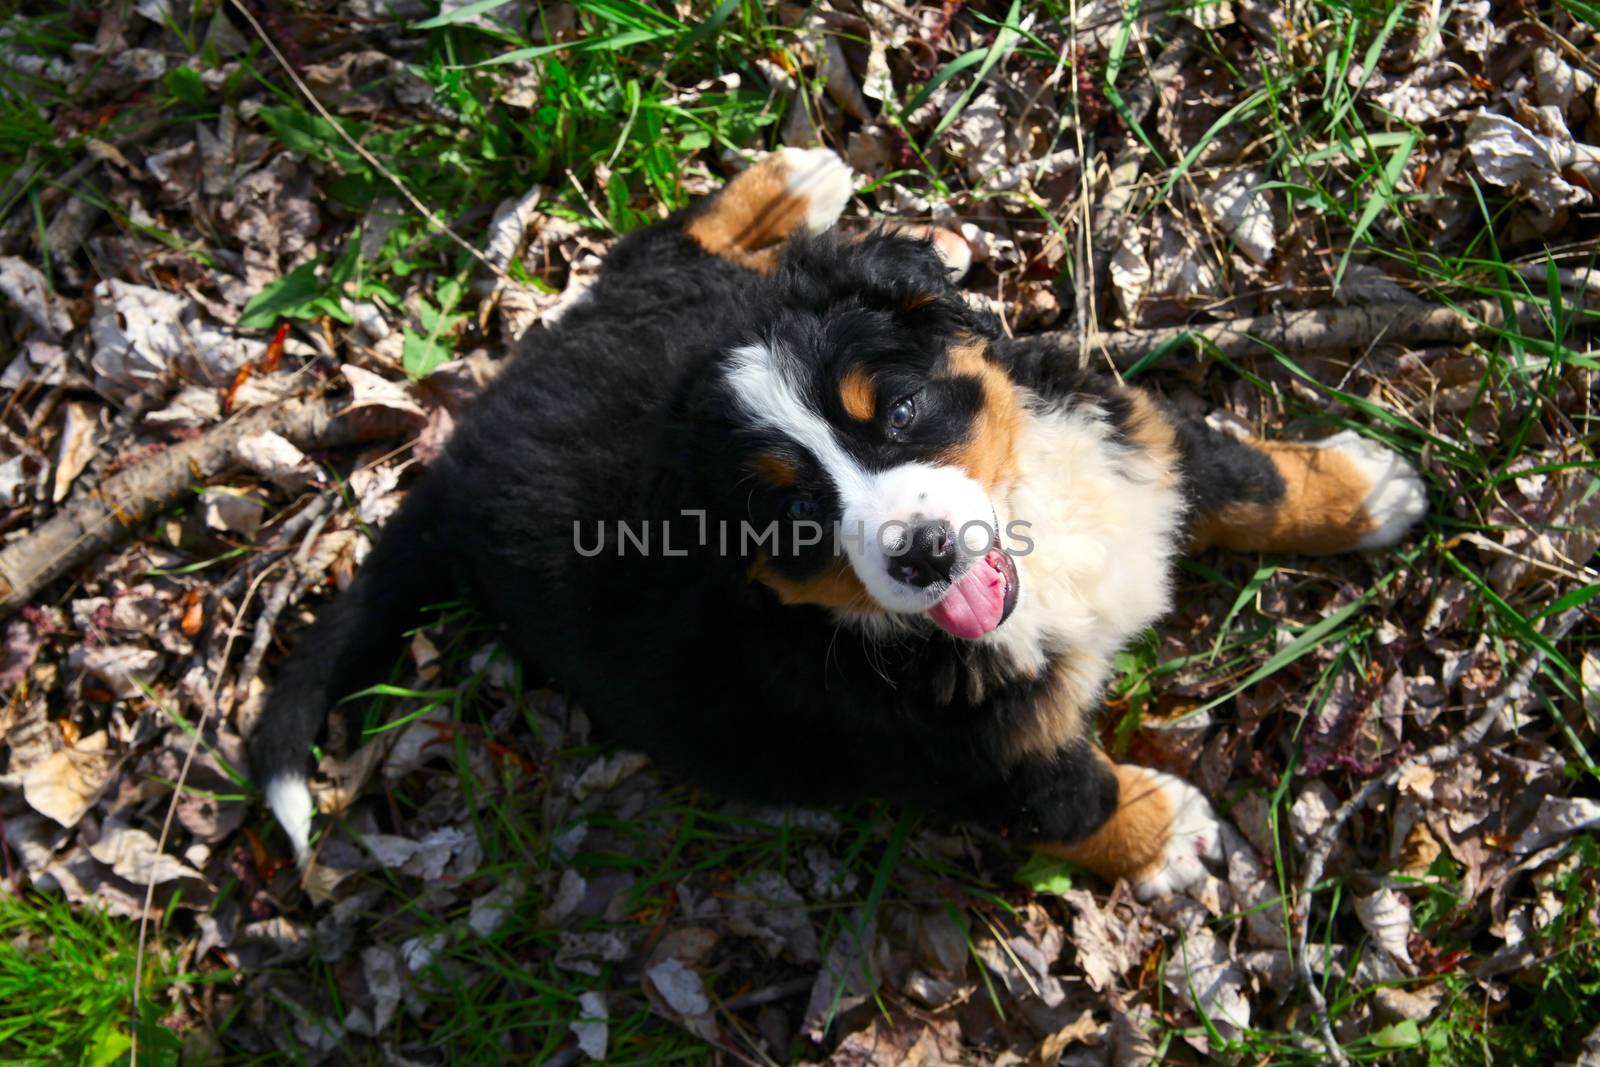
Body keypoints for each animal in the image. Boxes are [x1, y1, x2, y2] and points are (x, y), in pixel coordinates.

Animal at [249, 147, 1427, 902]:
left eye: (899, 412)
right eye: (793, 512)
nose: (924, 554)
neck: (1037, 547)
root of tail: (456, 448)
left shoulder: (1124, 433)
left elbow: (1238, 475)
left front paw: (1363, 493)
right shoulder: (962, 742)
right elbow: (1070, 792)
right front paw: (1166, 840)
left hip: (648, 314)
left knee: (647, 257)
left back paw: (788, 187)